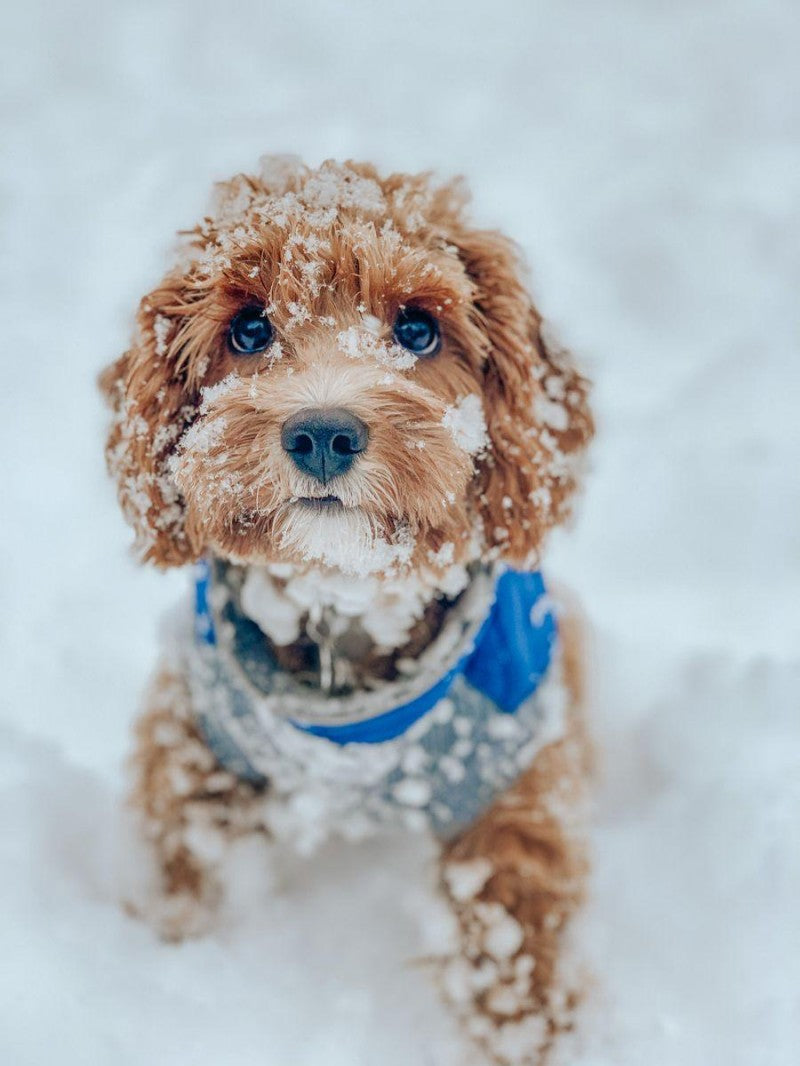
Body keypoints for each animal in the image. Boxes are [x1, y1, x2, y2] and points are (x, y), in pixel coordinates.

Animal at [100, 157, 597, 1066]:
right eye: (249, 329)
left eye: (419, 328)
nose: (323, 433)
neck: (343, 610)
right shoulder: (195, 740)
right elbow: (186, 866)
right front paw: (174, 951)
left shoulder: (516, 773)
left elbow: (516, 933)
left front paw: (535, 1038)